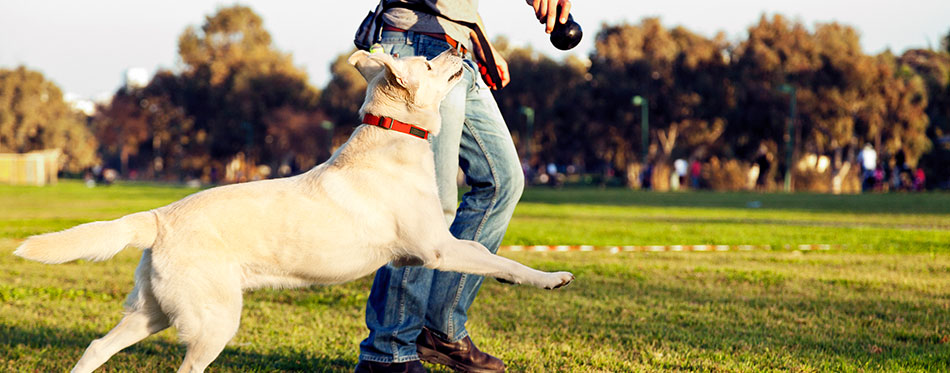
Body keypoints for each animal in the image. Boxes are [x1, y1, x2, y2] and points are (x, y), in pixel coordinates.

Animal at [13, 50, 572, 372]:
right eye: (431, 65)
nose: (459, 50)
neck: (393, 136)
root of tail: (159, 216)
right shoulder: (437, 249)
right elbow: (498, 259)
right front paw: (550, 278)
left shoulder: (427, 252)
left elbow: (486, 256)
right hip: (213, 321)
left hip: (152, 312)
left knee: (95, 346)